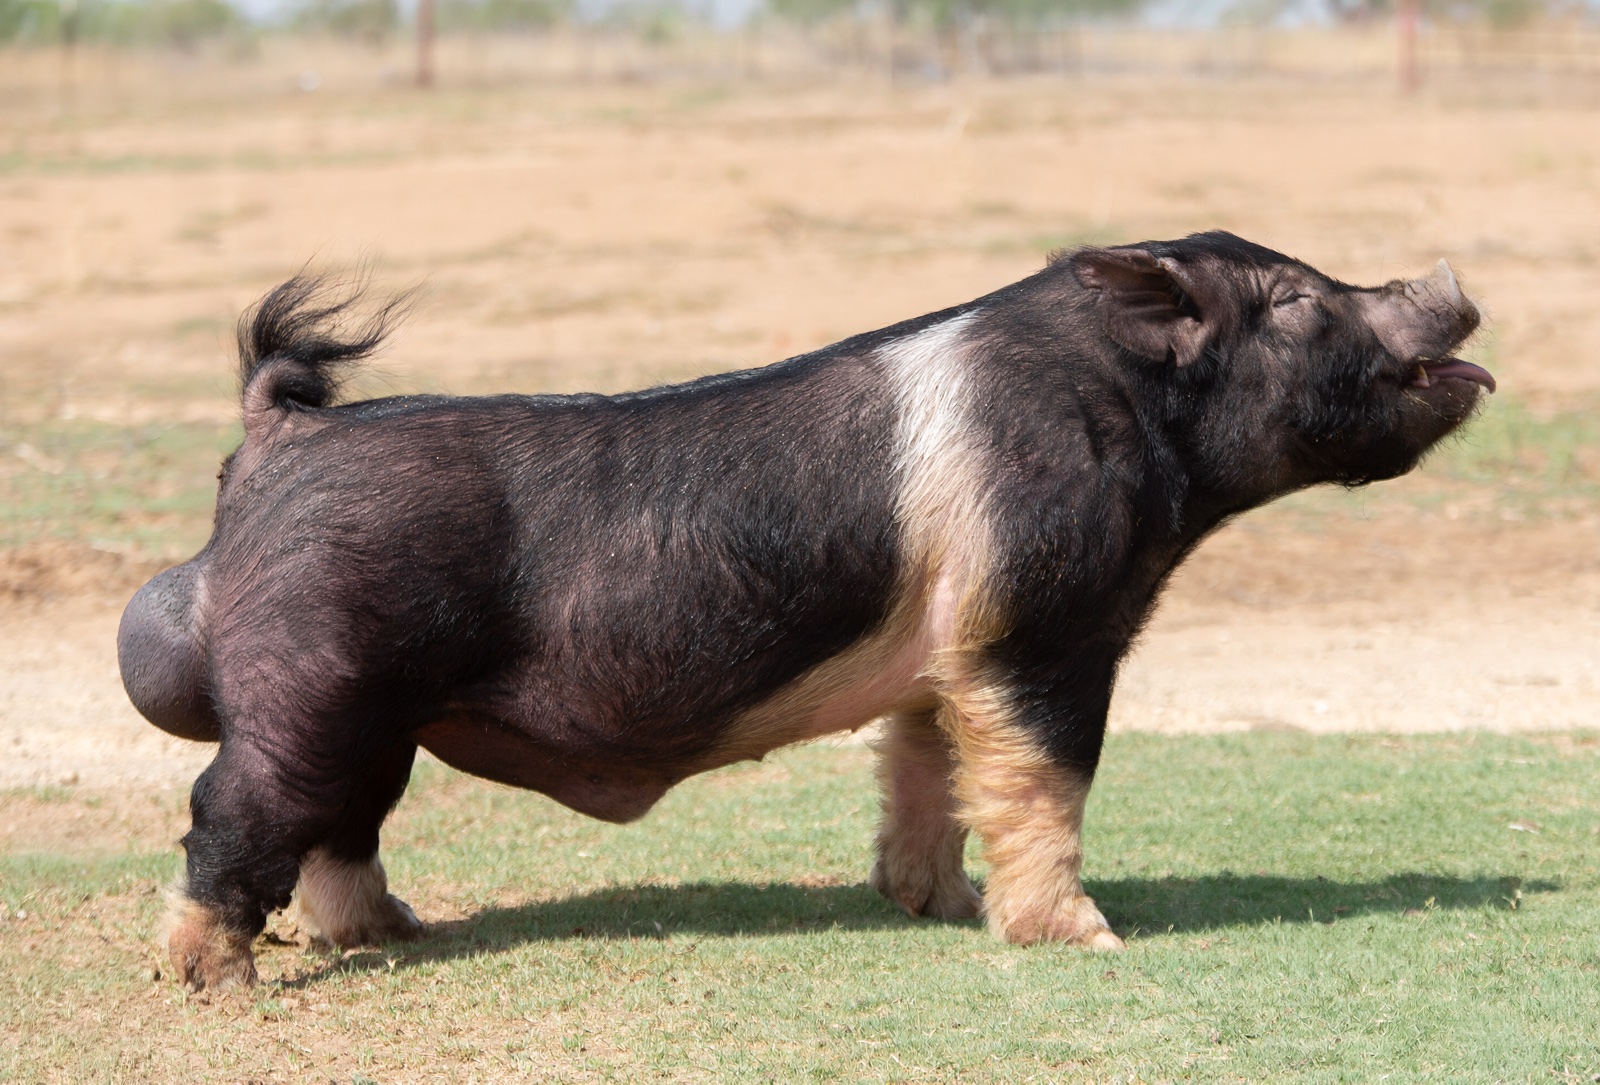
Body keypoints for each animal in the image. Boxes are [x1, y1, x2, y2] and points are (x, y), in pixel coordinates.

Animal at [118, 231, 1490, 990]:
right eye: (1297, 301)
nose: (1449, 279)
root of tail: (282, 433)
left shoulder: (950, 657)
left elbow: (930, 774)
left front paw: (933, 905)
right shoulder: (1044, 627)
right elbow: (1047, 781)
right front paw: (1089, 939)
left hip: (366, 711)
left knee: (339, 831)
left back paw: (391, 932)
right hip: (314, 682)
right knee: (228, 812)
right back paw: (218, 979)